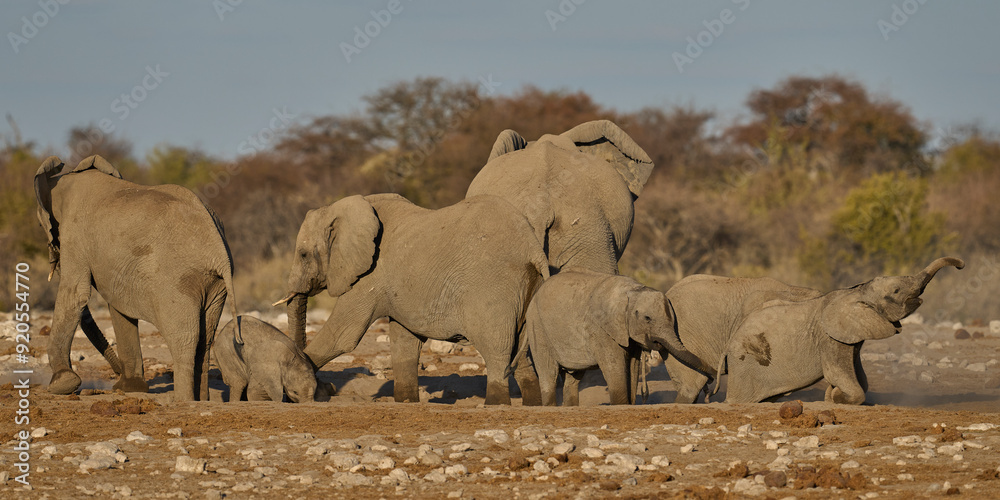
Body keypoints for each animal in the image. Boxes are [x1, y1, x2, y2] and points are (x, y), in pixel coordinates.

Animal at [34, 155, 237, 401]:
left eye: (40, 225)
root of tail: (218, 250)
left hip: (177, 280)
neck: (67, 177)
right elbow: (119, 306)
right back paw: (200, 401)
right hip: (215, 286)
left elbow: (76, 293)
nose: (116, 372)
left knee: (185, 338)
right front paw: (130, 388)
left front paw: (63, 384)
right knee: (205, 339)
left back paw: (183, 400)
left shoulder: (74, 234)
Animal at [273, 193, 549, 405]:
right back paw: (533, 404)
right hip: (524, 288)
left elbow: (342, 334)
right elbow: (404, 340)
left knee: (497, 349)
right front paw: (406, 401)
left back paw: (494, 404)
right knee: (520, 351)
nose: (325, 388)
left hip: (493, 286)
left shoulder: (371, 273)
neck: (339, 208)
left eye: (303, 254)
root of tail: (533, 248)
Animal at [516, 269, 715, 406]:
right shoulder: (601, 329)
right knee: (548, 372)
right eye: (647, 318)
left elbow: (632, 365)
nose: (711, 384)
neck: (632, 291)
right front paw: (620, 405)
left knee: (574, 378)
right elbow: (614, 365)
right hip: (537, 327)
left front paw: (629, 405)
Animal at [722, 257, 964, 404]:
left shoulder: (851, 338)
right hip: (744, 365)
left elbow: (860, 376)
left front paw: (832, 394)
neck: (856, 292)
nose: (961, 266)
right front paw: (836, 396)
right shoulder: (830, 338)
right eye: (896, 291)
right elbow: (837, 373)